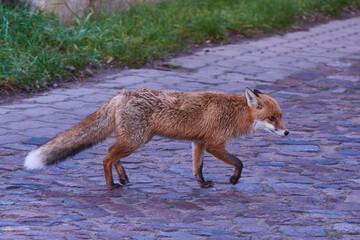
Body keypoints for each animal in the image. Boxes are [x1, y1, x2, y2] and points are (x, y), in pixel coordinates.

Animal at [23, 87, 288, 189]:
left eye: (281, 116)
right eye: (272, 118)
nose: (287, 132)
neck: (234, 113)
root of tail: (121, 94)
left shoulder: (199, 142)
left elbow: (197, 168)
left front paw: (202, 184)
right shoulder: (214, 144)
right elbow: (239, 162)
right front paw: (233, 180)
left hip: (133, 140)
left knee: (110, 153)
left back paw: (122, 178)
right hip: (135, 141)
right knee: (106, 158)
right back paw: (111, 185)